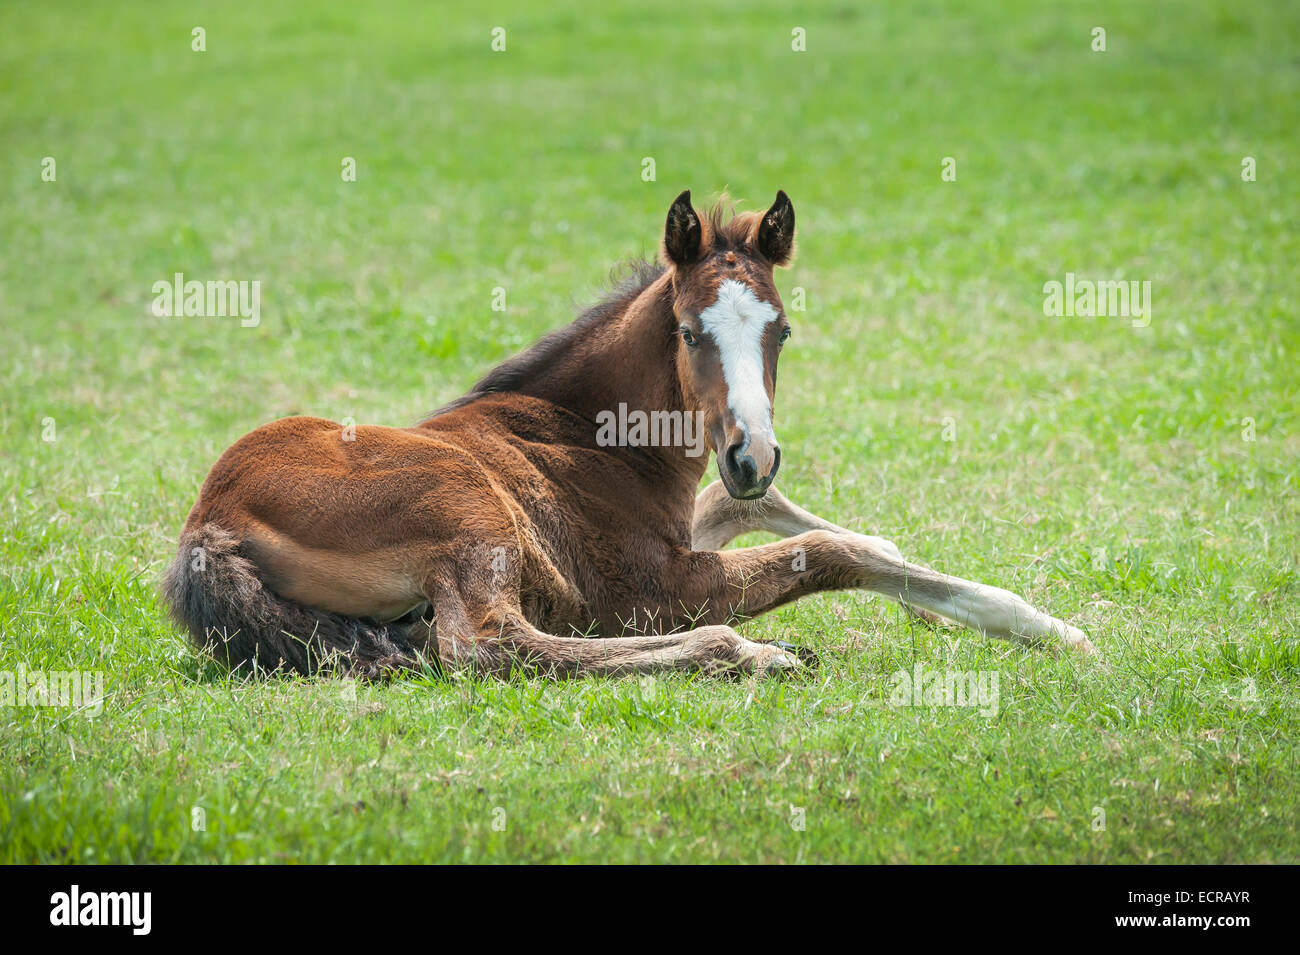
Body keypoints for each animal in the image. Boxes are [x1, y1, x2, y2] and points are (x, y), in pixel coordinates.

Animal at [163, 189, 1095, 679]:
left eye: (782, 329)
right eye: (688, 330)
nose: (753, 452)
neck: (594, 435)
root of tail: (209, 523)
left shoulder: (699, 515)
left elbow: (754, 509)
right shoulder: (654, 581)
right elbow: (830, 552)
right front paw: (1045, 627)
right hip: (467, 511)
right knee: (489, 644)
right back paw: (752, 649)